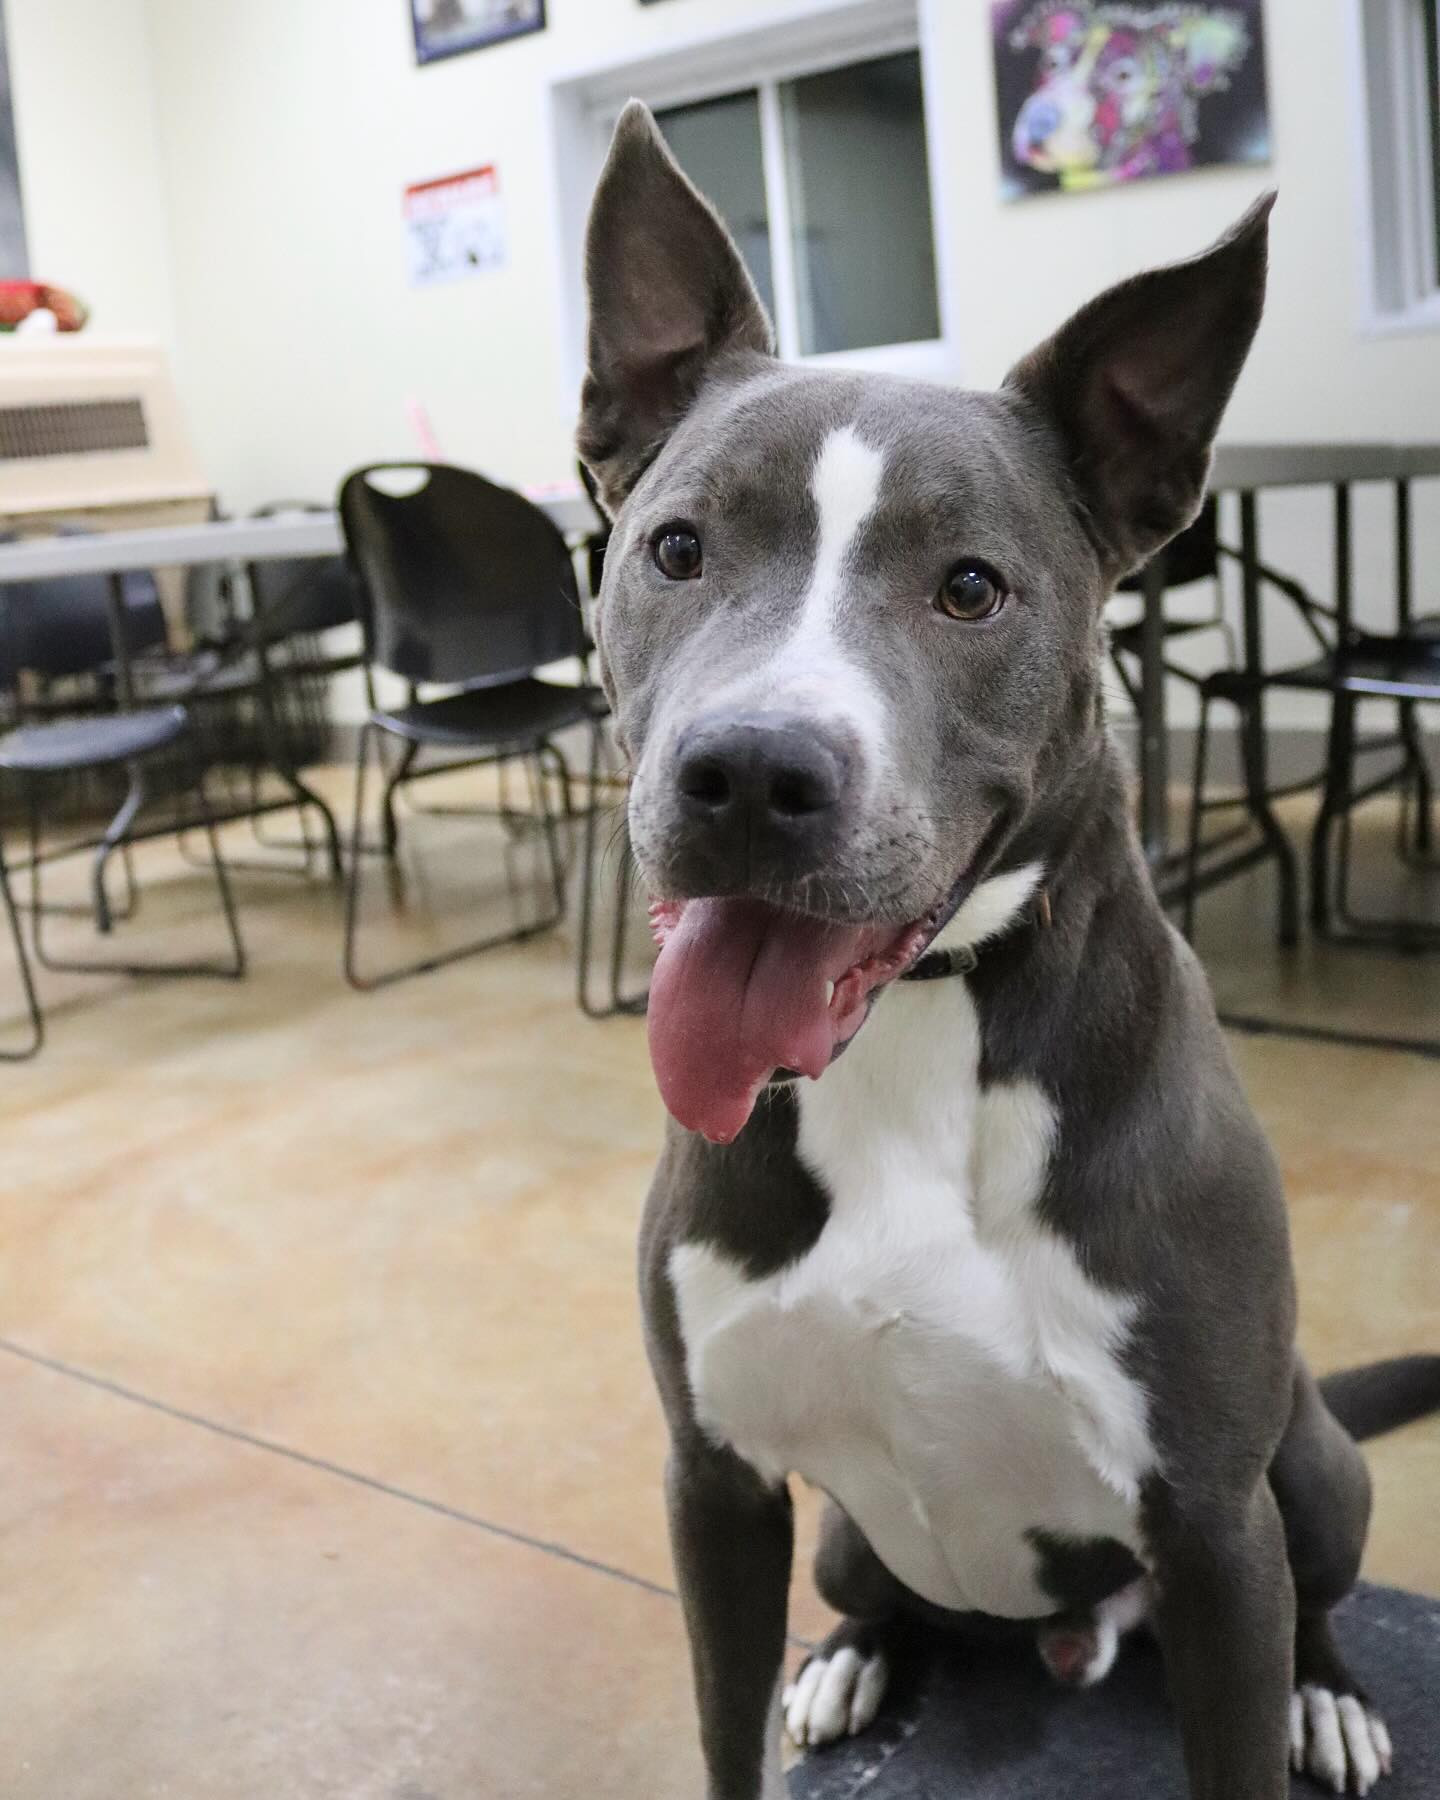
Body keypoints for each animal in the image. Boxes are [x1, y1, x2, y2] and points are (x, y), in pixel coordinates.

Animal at [579, 102, 1432, 1800]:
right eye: (675, 549)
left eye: (970, 586)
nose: (749, 775)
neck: (919, 1031)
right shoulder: (714, 1487)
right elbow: (721, 1732)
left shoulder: (1213, 1532)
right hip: (838, 1538)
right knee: (879, 1596)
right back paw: (856, 1660)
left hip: (1304, 1469)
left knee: (1320, 1582)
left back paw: (1332, 1694)